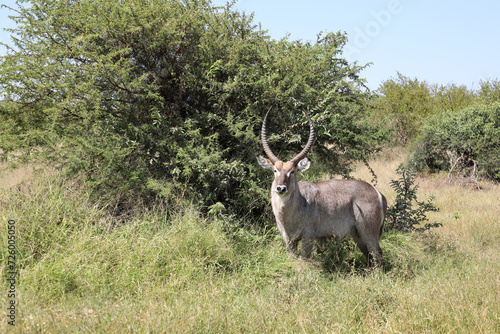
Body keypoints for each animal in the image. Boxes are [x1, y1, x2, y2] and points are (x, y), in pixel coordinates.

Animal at [258, 109, 386, 266]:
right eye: (275, 170)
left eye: (292, 171)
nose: (281, 188)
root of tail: (377, 192)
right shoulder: (288, 239)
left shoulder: (308, 236)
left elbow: (303, 260)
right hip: (358, 235)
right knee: (370, 256)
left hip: (369, 233)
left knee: (378, 255)